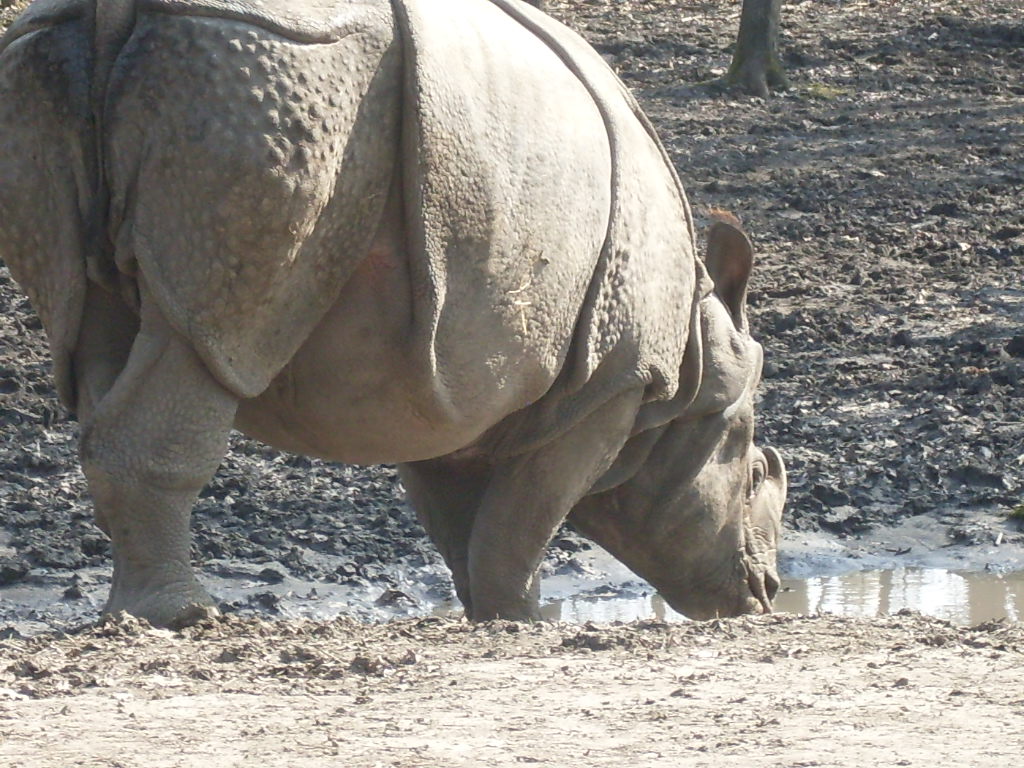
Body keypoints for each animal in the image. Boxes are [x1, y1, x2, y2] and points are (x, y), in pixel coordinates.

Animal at [0, 0, 785, 627]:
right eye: (752, 476)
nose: (767, 591)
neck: (694, 361)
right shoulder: (614, 383)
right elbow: (524, 521)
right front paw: (528, 625)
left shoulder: (453, 389)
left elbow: (470, 531)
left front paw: (491, 619)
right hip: (279, 77)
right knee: (201, 337)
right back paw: (184, 618)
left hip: (56, 56)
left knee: (97, 329)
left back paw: (140, 612)